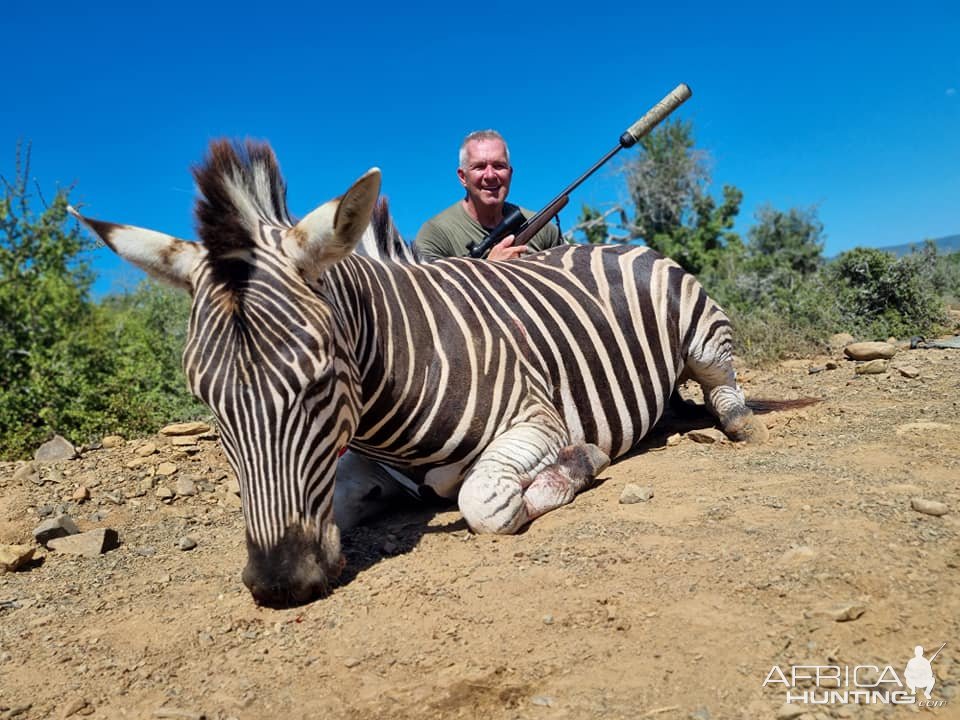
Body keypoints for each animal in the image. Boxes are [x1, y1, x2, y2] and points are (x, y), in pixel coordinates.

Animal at [69, 138, 772, 604]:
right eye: (206, 399)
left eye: (319, 381)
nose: (279, 583)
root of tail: (618, 240)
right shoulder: (354, 468)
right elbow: (340, 503)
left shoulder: (537, 418)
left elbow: (484, 501)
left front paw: (576, 465)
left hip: (702, 337)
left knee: (725, 392)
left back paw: (731, 422)